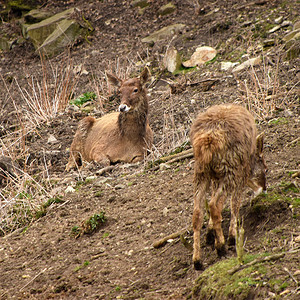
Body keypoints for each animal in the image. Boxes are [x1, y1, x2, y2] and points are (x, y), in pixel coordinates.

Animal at [191, 103, 266, 270]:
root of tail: (208, 141)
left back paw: (197, 260)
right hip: (229, 170)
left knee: (198, 212)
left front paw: (210, 233)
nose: (263, 188)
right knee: (214, 205)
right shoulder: (240, 174)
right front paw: (232, 236)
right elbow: (234, 204)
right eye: (265, 168)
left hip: (201, 172)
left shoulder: (215, 178)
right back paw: (221, 247)